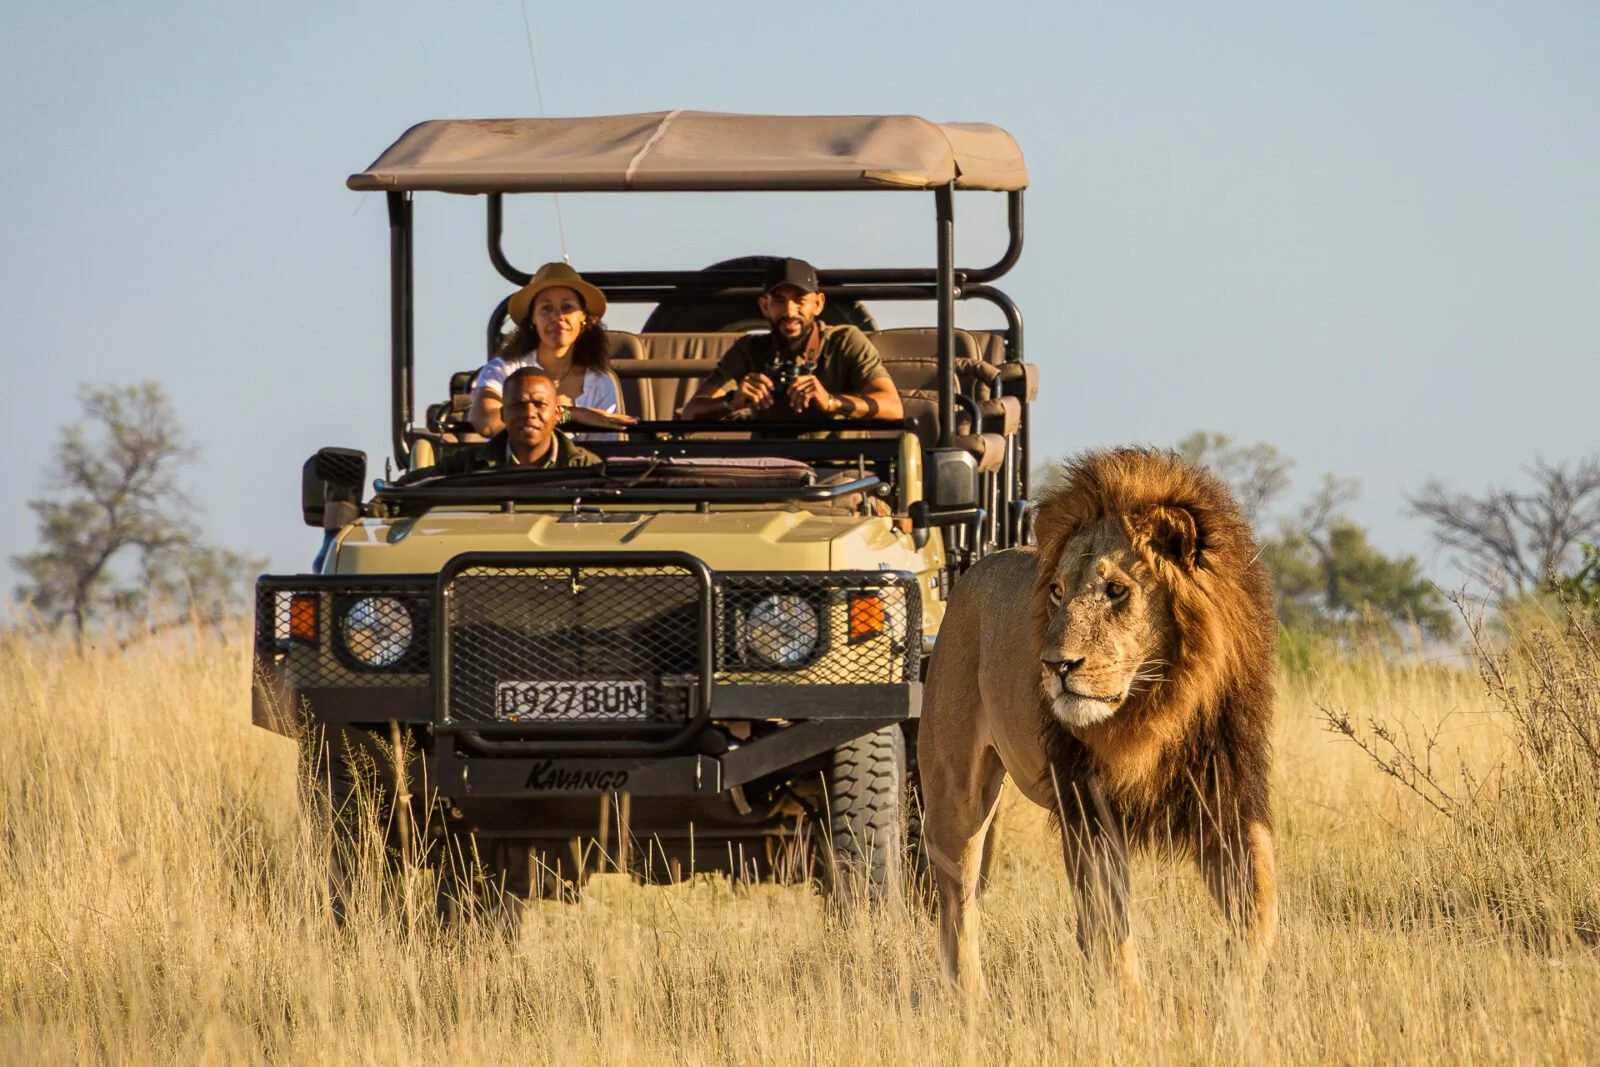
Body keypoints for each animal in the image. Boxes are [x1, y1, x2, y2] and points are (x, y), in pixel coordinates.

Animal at [917, 447, 1277, 995]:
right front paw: (1131, 1010)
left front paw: (1228, 991)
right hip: (954, 790)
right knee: (958, 904)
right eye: (1057, 592)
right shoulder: (1088, 809)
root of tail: (971, 572)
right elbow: (1113, 934)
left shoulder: (1228, 798)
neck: (1153, 708)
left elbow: (1259, 906)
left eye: (1115, 590)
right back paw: (970, 1001)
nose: (1054, 665)